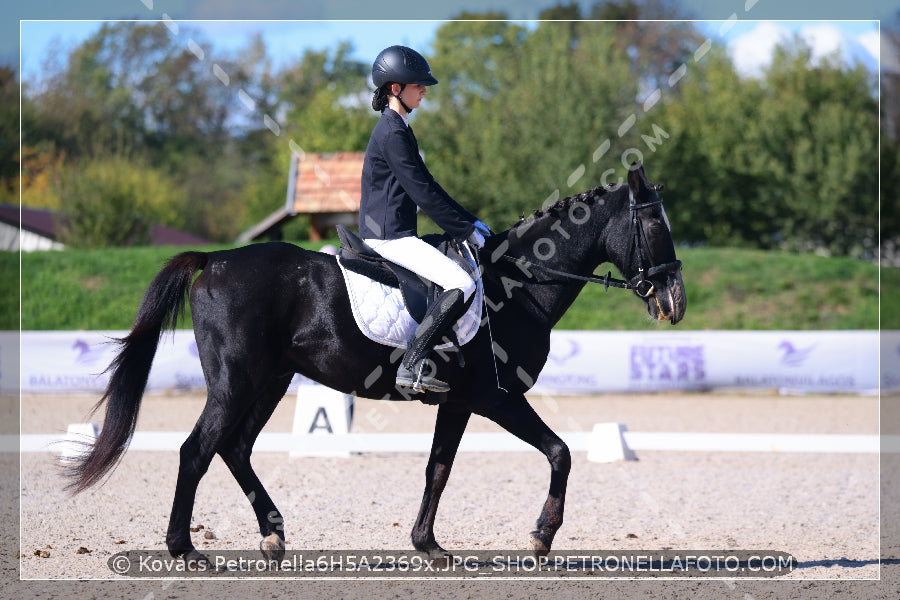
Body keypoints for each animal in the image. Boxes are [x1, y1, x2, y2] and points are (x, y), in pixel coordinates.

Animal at [65, 163, 684, 564]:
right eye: (655, 225)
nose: (673, 302)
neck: (519, 283)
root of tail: (216, 259)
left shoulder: (459, 402)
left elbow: (438, 469)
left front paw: (428, 545)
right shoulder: (498, 398)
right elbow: (560, 452)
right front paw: (541, 537)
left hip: (271, 380)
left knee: (234, 447)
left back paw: (272, 536)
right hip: (236, 381)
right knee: (197, 450)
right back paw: (185, 549)